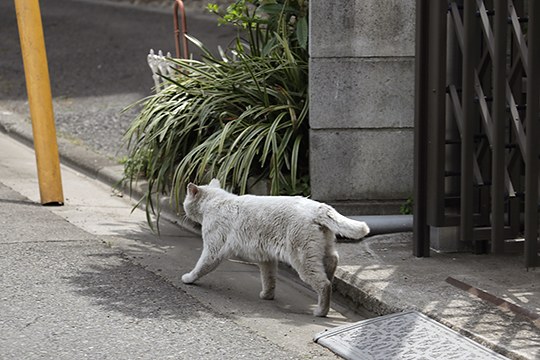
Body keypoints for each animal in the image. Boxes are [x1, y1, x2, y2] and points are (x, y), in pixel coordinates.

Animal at [179, 179, 370, 316]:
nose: (183, 209)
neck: (217, 202)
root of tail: (318, 207)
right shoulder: (267, 259)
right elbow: (269, 279)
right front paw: (267, 295)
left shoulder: (212, 251)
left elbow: (200, 267)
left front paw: (188, 278)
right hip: (324, 248)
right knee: (332, 262)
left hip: (303, 258)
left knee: (324, 284)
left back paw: (320, 311)